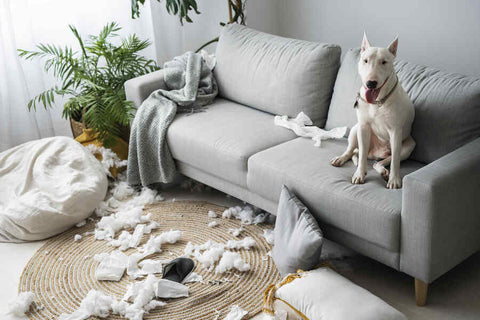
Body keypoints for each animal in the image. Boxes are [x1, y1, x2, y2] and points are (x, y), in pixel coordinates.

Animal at [332, 34, 414, 190]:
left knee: (383, 161)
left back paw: (384, 172)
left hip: (409, 146)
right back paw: (341, 158)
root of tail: (375, 153)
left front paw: (394, 180)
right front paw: (359, 174)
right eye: (365, 60)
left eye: (384, 62)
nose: (371, 83)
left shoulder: (395, 132)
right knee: (352, 151)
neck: (377, 102)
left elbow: (395, 161)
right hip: (355, 130)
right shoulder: (363, 127)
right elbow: (362, 155)